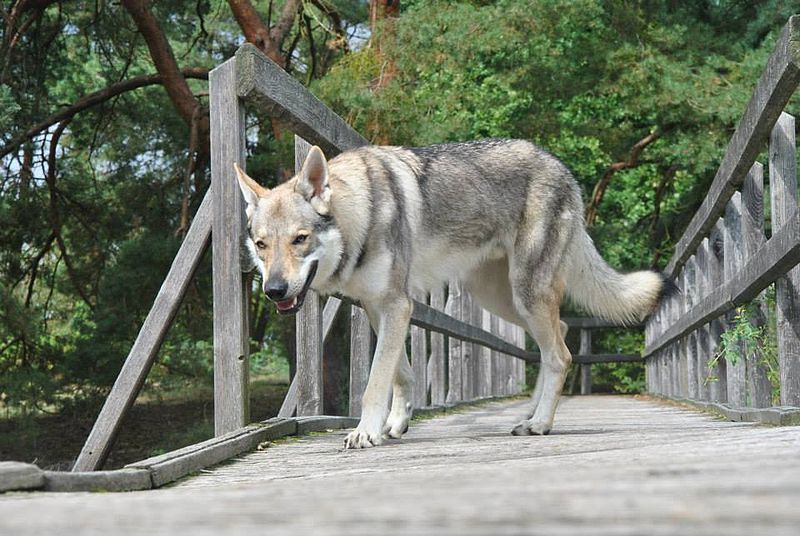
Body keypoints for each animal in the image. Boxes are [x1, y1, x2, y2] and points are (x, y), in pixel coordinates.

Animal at [234, 138, 672, 448]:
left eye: (300, 239)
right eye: (261, 244)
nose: (273, 290)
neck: (361, 214)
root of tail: (562, 168)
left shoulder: (397, 305)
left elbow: (374, 383)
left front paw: (366, 431)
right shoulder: (380, 307)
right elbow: (401, 373)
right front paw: (397, 423)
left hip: (525, 293)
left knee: (561, 355)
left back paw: (539, 423)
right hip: (501, 299)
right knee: (561, 333)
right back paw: (532, 412)